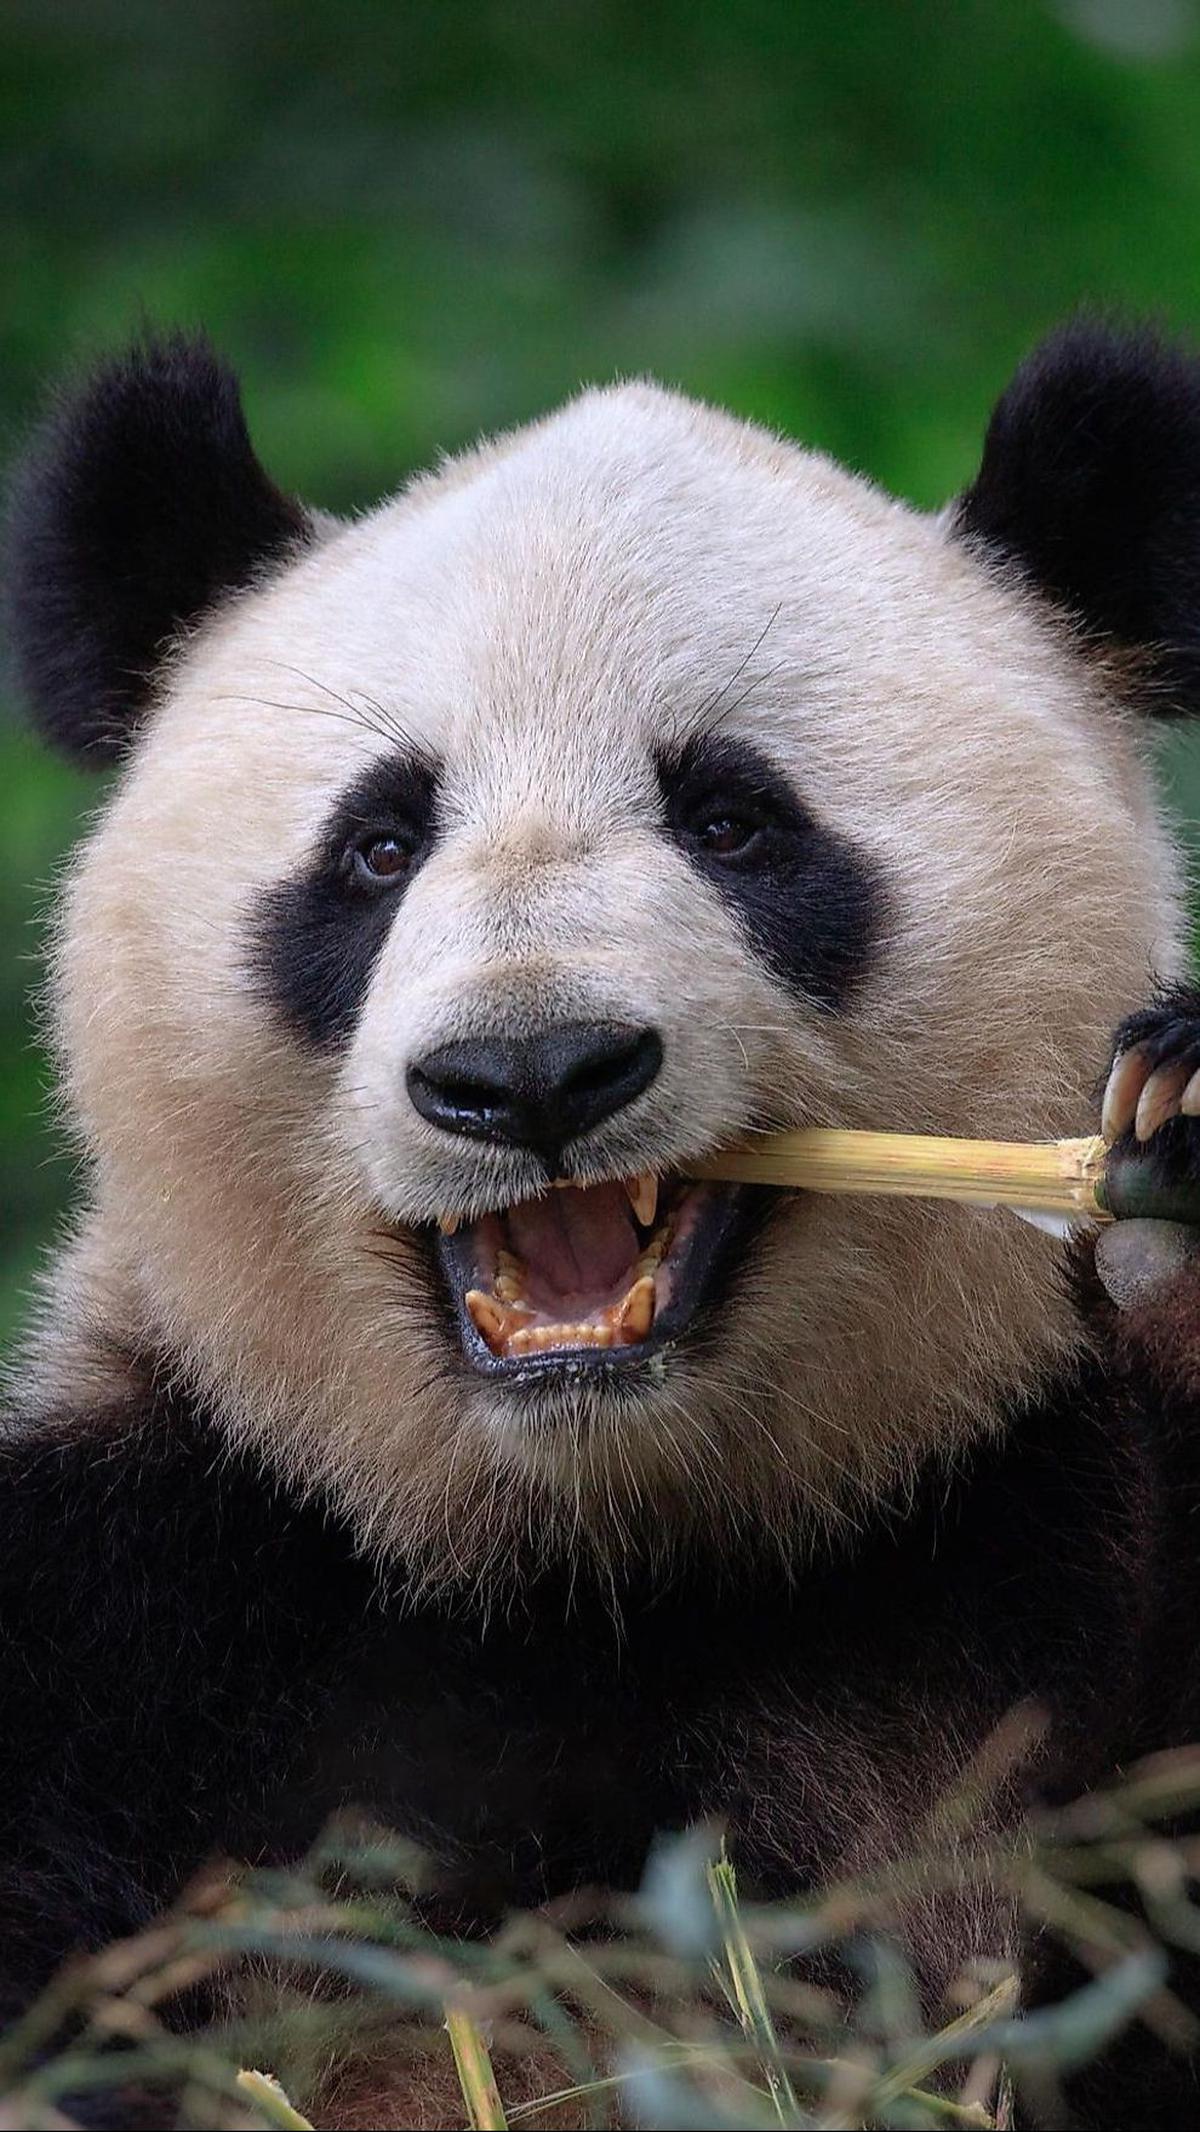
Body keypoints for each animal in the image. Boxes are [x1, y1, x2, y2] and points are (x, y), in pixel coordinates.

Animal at [4, 320, 1200, 2129]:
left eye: (734, 819)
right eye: (377, 845)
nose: (531, 1071)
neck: (594, 1563)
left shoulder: (1031, 1565)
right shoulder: (151, 1587)